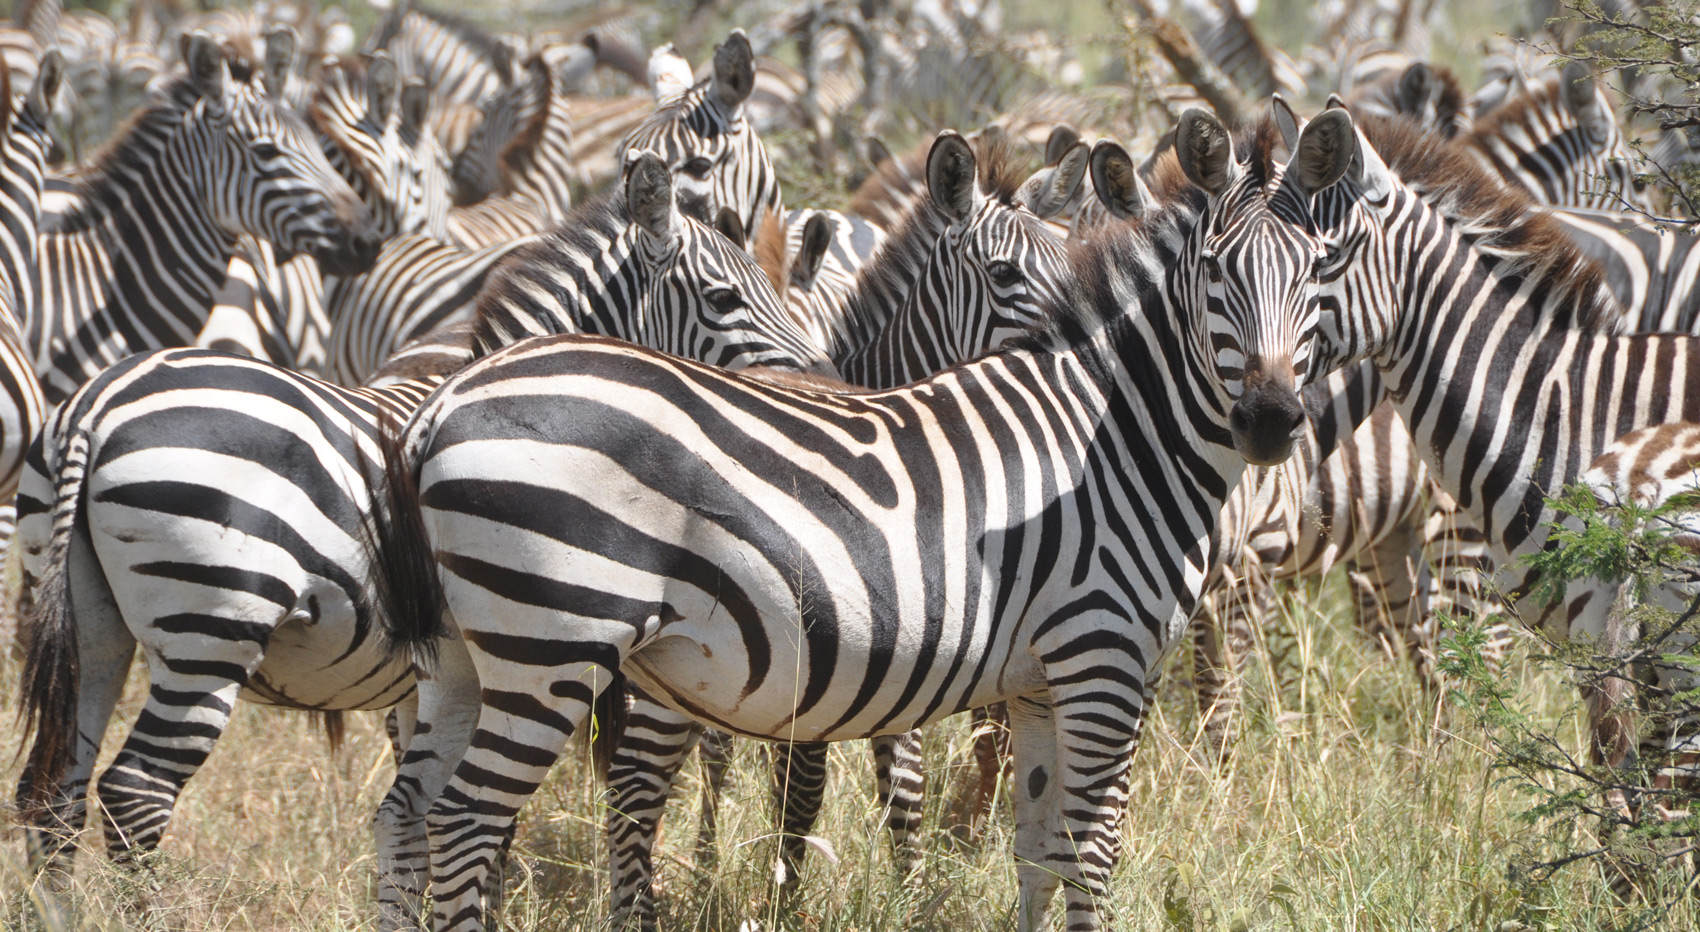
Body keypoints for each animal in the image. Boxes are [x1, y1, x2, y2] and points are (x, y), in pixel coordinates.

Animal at [12, 149, 832, 931]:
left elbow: (420, 824)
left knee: (53, 788)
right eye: (724, 300)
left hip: (91, 624)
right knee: (135, 793)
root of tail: (97, 403)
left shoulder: (433, 684)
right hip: (208, 627)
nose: (824, 383)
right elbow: (480, 827)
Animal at [361, 107, 1359, 932]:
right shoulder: (1103, 660)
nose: (1272, 421)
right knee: (466, 823)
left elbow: (1038, 854)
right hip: (550, 644)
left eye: (1318, 274)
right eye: (1219, 274)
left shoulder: (1039, 682)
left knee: (410, 816)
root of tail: (441, 405)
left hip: (465, 660)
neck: (1113, 439)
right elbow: (1090, 855)